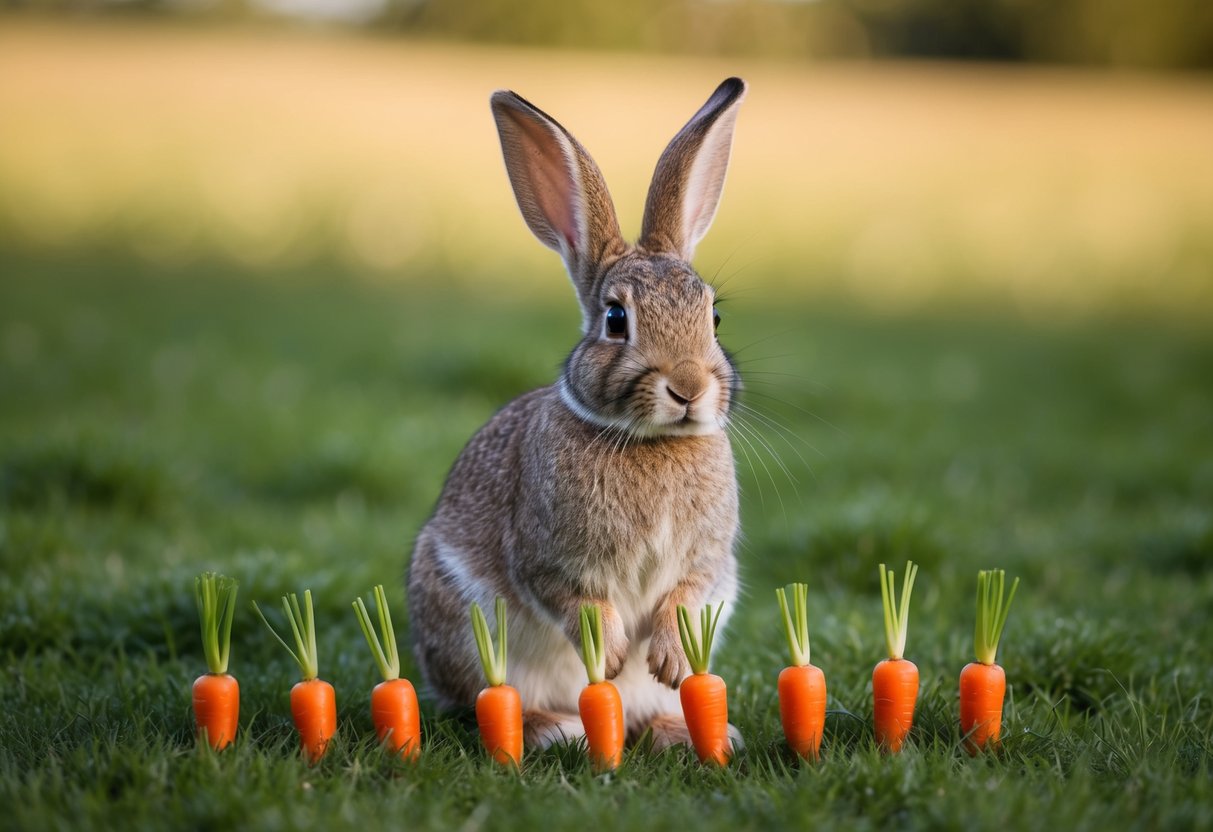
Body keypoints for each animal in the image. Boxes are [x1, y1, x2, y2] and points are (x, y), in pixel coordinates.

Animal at [407, 77, 747, 751]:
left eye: (714, 317)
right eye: (616, 320)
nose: (689, 387)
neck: (649, 440)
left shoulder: (708, 565)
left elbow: (683, 597)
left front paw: (668, 658)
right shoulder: (543, 559)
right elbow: (578, 603)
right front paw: (610, 654)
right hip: (464, 622)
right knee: (488, 700)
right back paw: (556, 728)